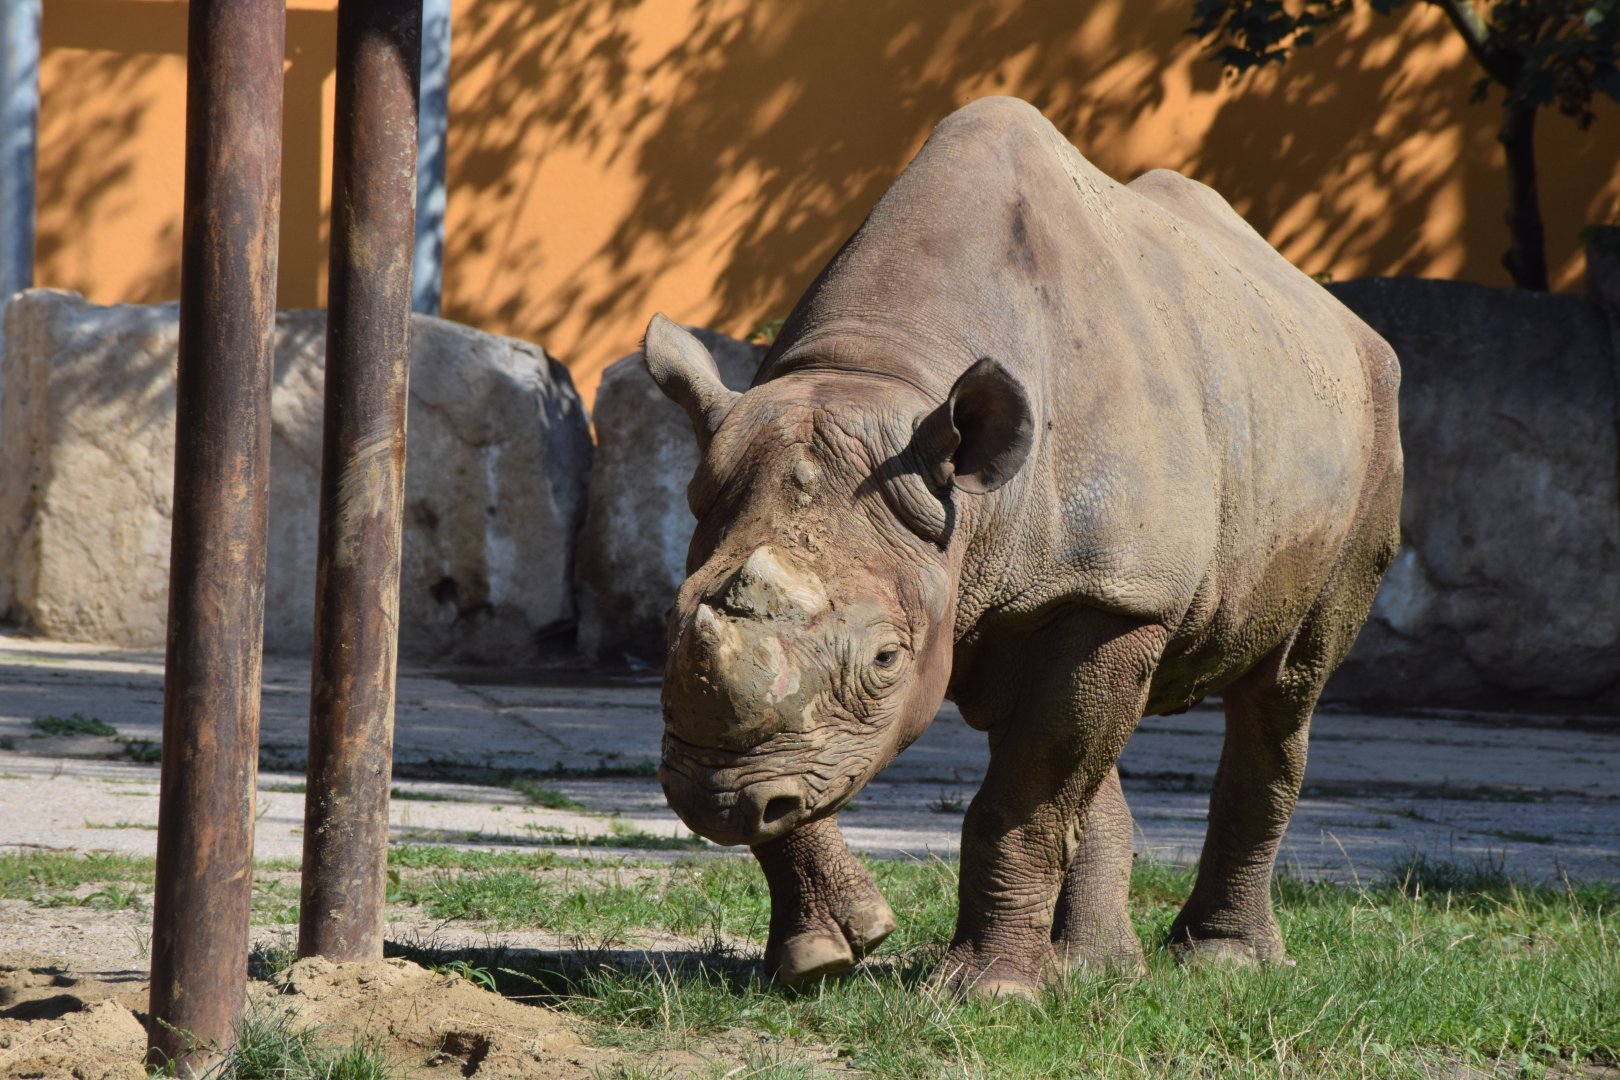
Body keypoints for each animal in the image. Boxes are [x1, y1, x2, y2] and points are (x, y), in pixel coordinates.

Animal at [644, 97, 1402, 997]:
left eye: (887, 660)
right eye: (669, 624)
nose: (712, 802)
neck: (882, 370)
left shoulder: (1111, 593)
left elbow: (1024, 800)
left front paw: (986, 994)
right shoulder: (1053, 574)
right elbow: (826, 759)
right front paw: (825, 955)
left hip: (1364, 431)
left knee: (1284, 690)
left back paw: (1220, 963)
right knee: (1089, 728)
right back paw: (1095, 969)